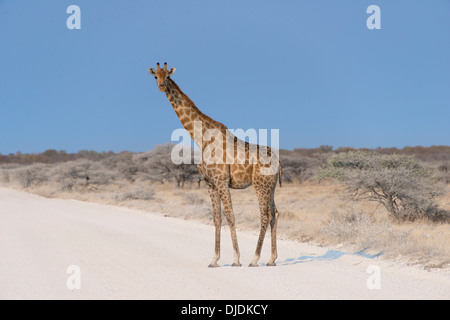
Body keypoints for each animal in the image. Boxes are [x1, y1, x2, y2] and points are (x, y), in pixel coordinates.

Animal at [148, 62, 282, 268]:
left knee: (265, 215)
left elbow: (230, 216)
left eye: (167, 76)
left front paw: (236, 259)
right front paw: (214, 260)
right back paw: (271, 259)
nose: (161, 86)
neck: (201, 138)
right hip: (271, 186)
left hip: (260, 184)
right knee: (275, 213)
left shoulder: (221, 181)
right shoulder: (209, 183)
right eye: (156, 76)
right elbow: (216, 219)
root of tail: (277, 161)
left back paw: (254, 259)